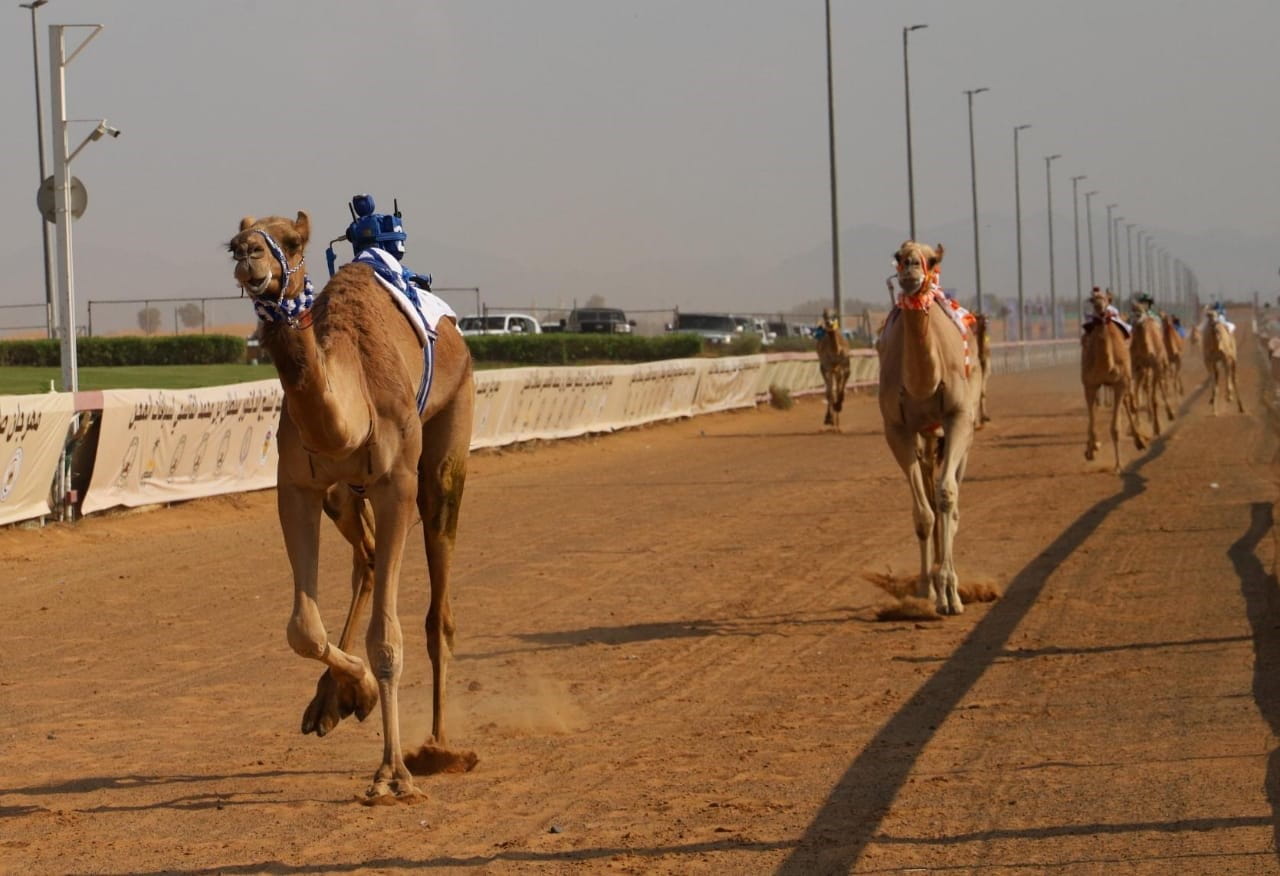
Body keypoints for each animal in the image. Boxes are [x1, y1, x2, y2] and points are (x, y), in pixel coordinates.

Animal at [227, 208, 473, 804]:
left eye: (292, 243)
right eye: (232, 244)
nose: (249, 255)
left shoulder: (394, 484)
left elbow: (386, 639)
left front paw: (392, 775)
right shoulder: (296, 486)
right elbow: (302, 629)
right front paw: (356, 690)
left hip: (445, 444)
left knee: (437, 606)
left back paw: (437, 747)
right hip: (342, 497)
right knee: (367, 559)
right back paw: (329, 702)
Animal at [880, 235, 977, 612]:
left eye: (932, 260)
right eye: (897, 255)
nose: (910, 268)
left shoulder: (959, 416)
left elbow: (948, 497)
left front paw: (950, 593)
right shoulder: (896, 428)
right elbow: (922, 513)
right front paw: (928, 588)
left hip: (958, 434)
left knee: (951, 500)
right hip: (925, 436)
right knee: (929, 499)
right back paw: (929, 582)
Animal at [1080, 289, 1152, 476]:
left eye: (1107, 299)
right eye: (1092, 299)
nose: (1100, 308)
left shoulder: (1120, 383)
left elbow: (1115, 427)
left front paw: (1118, 465)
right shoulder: (1089, 384)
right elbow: (1092, 420)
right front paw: (1091, 450)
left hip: (1125, 378)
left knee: (1127, 402)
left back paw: (1140, 440)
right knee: (1095, 410)